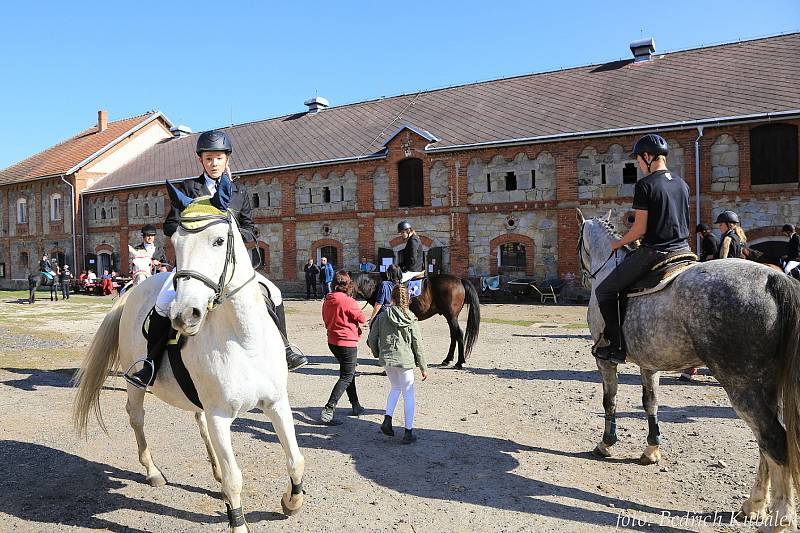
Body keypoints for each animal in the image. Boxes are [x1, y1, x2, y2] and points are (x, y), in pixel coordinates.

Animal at [72, 202, 306, 528]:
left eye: (219, 241)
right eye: (175, 244)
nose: (185, 315)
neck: (244, 340)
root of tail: (132, 292)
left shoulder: (276, 402)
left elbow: (296, 460)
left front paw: (291, 502)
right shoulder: (220, 414)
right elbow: (235, 478)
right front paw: (238, 520)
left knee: (200, 424)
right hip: (136, 384)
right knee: (137, 417)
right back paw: (153, 471)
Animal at [352, 272, 482, 368]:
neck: (377, 284)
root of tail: (460, 280)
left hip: (451, 316)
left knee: (458, 334)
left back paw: (460, 362)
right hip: (450, 317)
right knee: (454, 335)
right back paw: (447, 359)